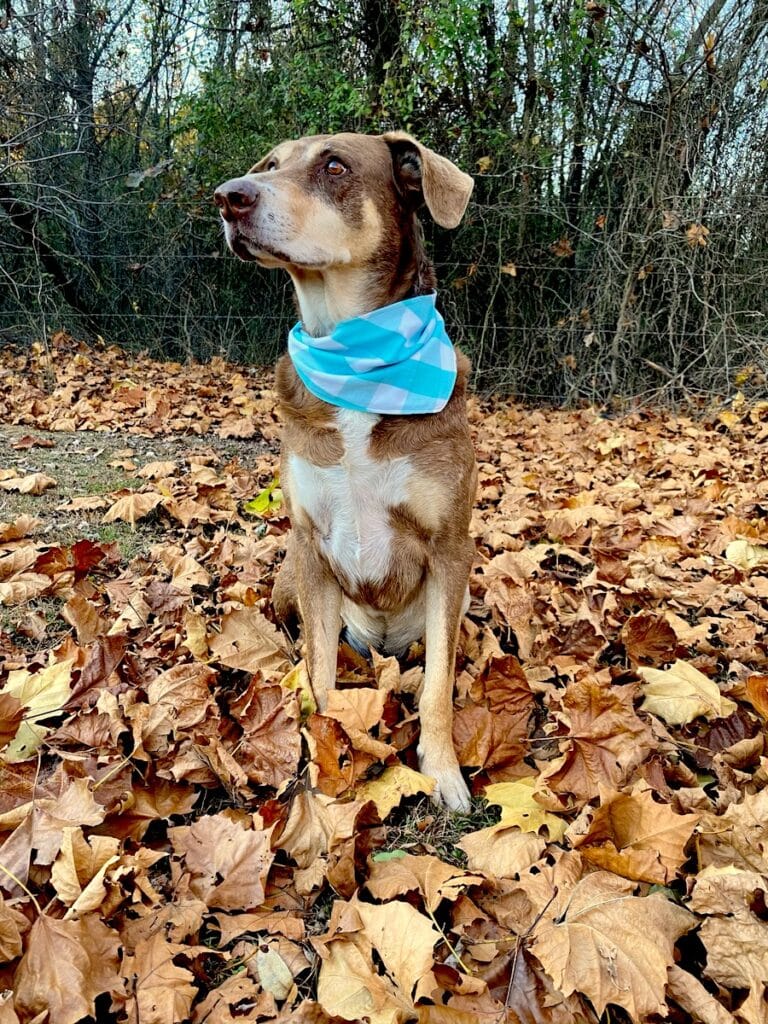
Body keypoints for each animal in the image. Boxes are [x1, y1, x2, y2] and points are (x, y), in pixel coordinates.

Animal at [217, 132, 479, 811]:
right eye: (271, 165)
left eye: (335, 166)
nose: (229, 197)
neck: (356, 359)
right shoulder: (310, 544)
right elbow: (320, 677)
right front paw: (321, 759)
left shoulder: (450, 550)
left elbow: (437, 685)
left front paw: (442, 769)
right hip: (288, 577)